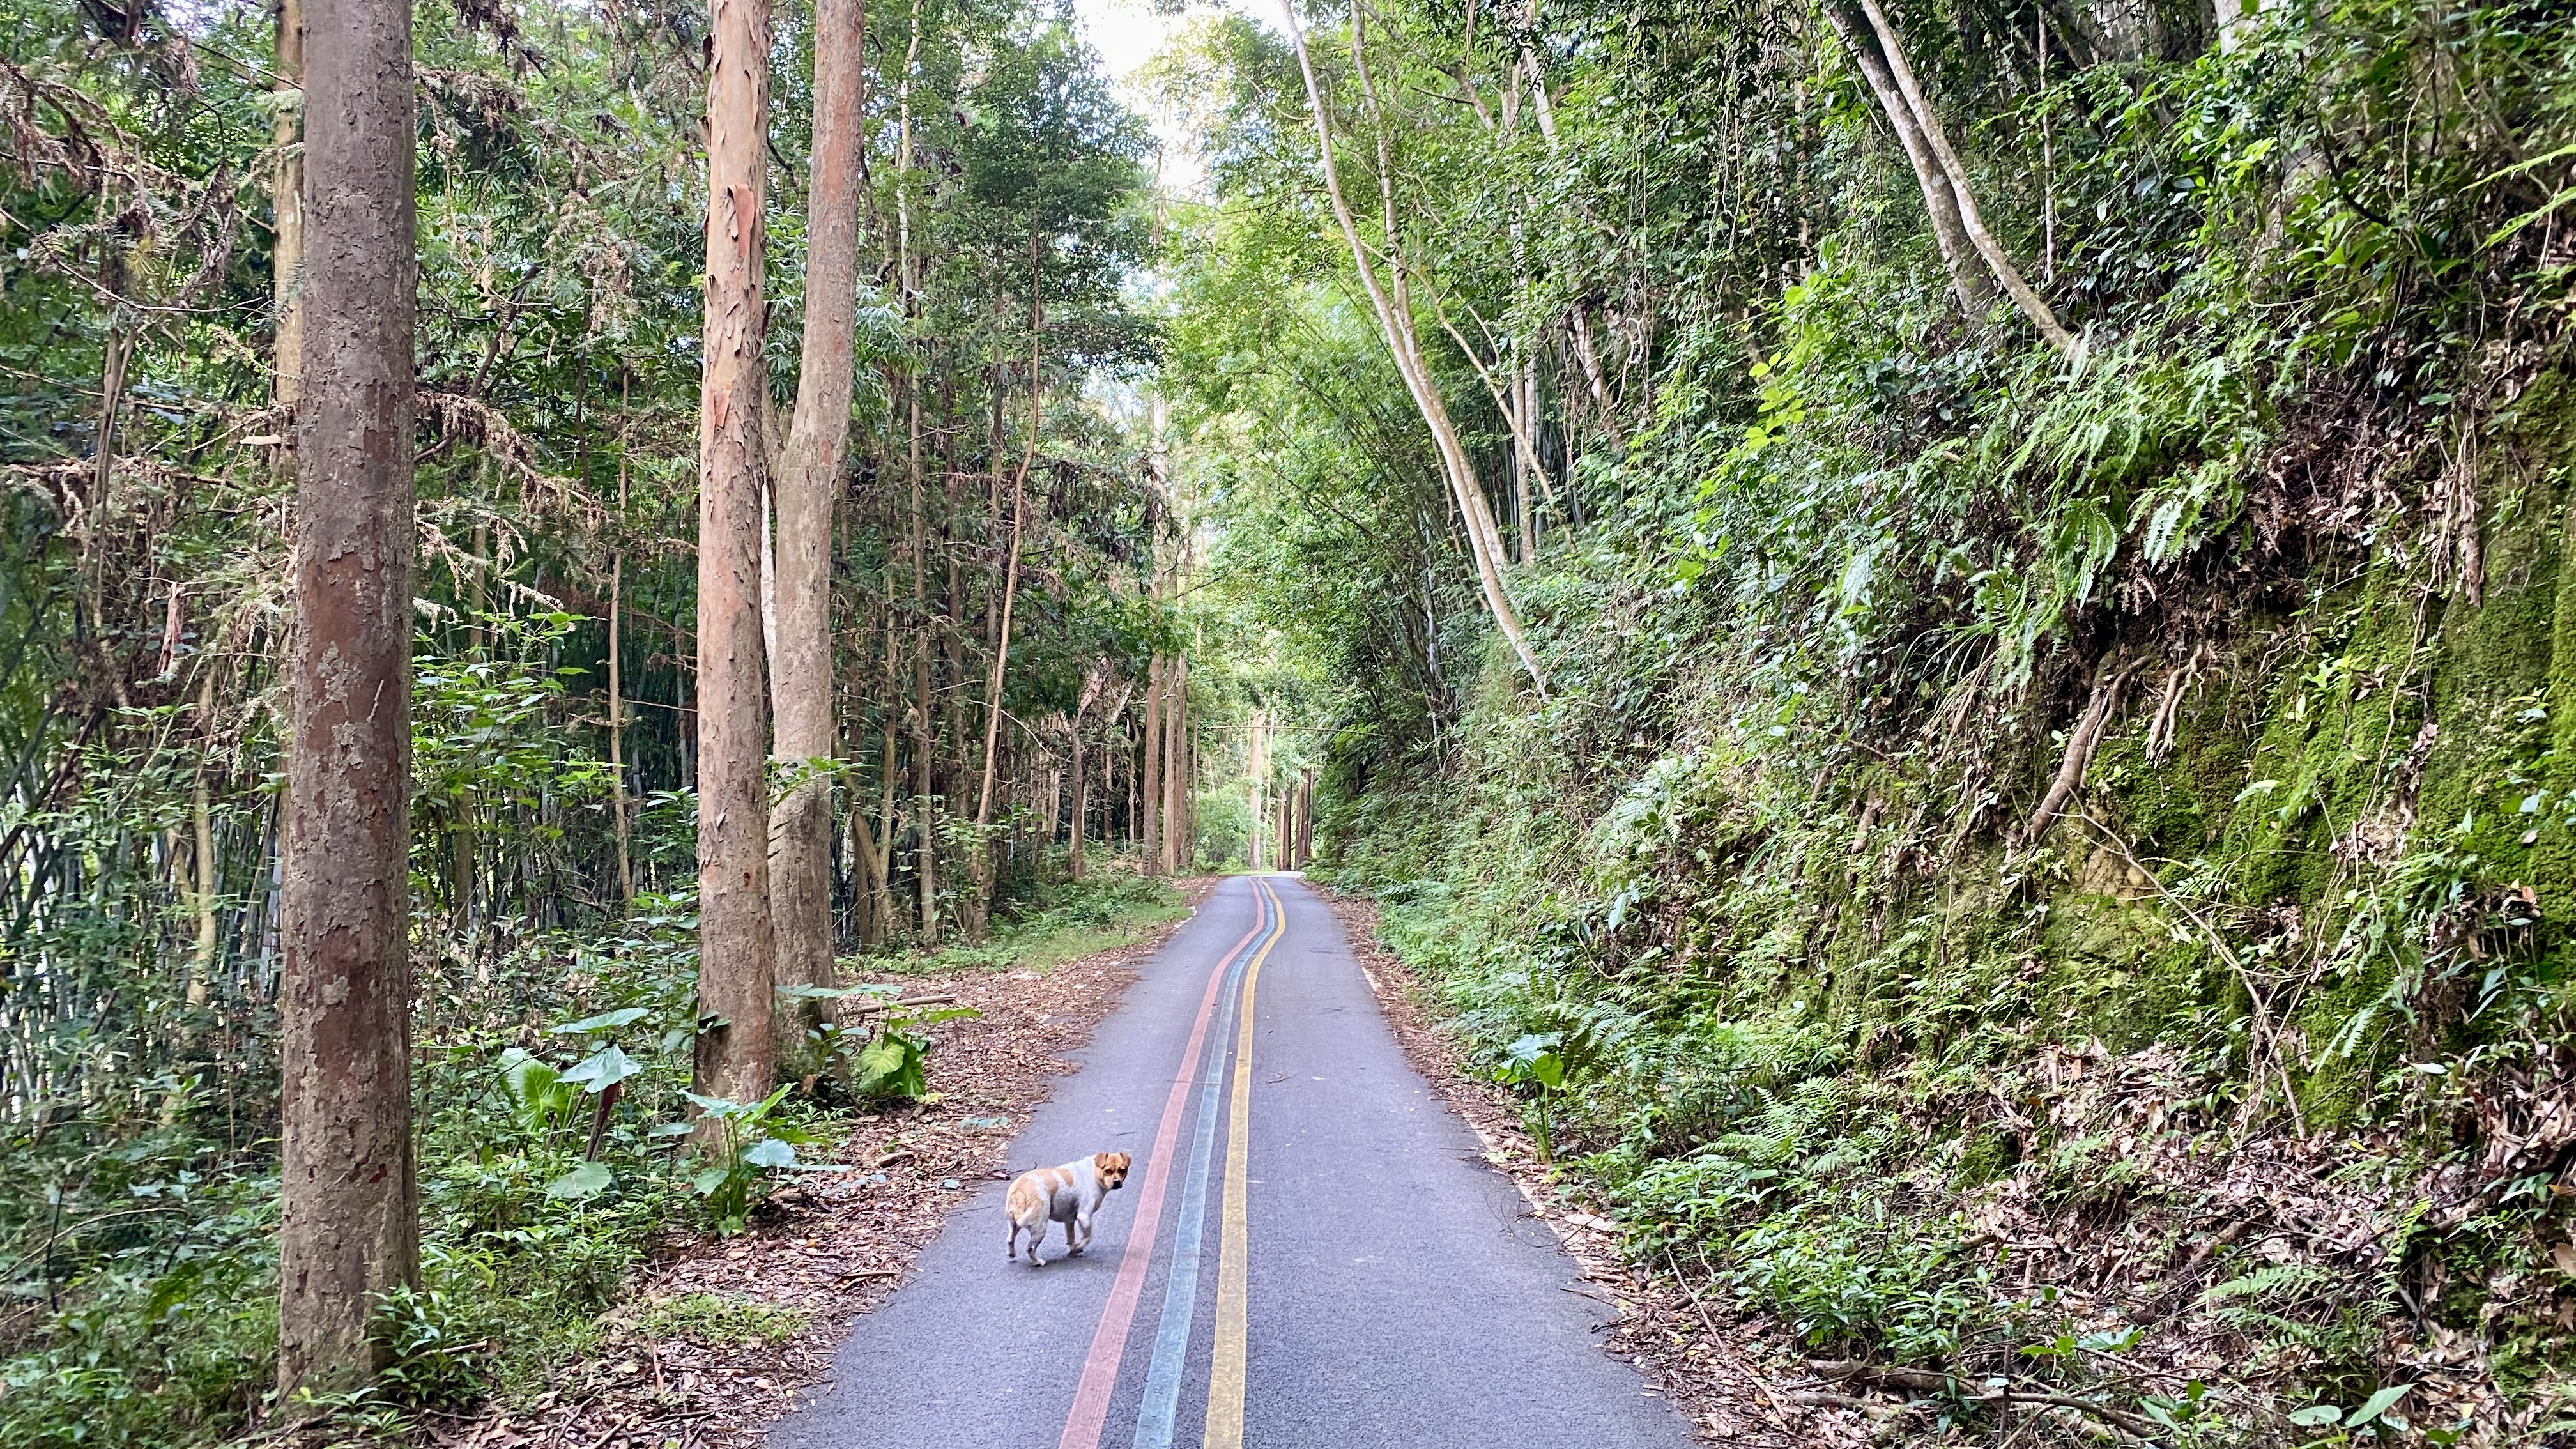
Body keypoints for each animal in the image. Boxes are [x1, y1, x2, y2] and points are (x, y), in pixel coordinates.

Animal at [1004, 1151, 1132, 1267]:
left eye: (1122, 1170)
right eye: (1107, 1171)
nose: (1117, 1183)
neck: (1093, 1173)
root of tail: (1020, 1191)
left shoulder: (1069, 1220)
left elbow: (1071, 1237)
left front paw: (1074, 1248)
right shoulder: (1084, 1217)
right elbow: (1088, 1237)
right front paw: (1079, 1247)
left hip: (1013, 1224)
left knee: (1010, 1239)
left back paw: (1012, 1253)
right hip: (1040, 1227)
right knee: (1030, 1248)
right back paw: (1038, 1262)